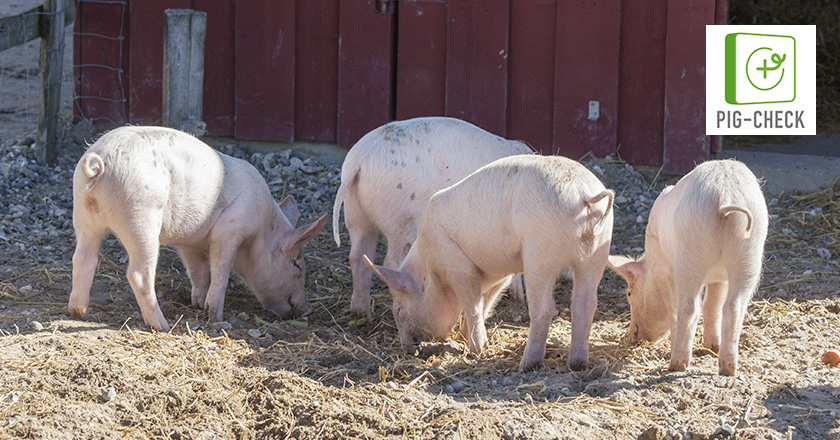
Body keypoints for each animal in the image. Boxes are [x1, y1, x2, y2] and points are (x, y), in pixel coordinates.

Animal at [68, 126, 327, 331]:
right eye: (297, 264)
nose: (307, 310)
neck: (262, 231)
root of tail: (99, 165)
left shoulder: (189, 243)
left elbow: (199, 272)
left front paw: (198, 304)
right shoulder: (230, 230)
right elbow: (220, 272)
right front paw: (216, 317)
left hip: (83, 215)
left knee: (83, 259)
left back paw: (78, 312)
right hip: (141, 217)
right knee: (138, 274)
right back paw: (163, 326)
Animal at [332, 117, 533, 321]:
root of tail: (359, 160)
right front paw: (519, 298)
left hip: (355, 212)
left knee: (357, 255)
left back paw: (361, 315)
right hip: (400, 218)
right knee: (391, 261)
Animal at [364, 154, 615, 371]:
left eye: (398, 309)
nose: (407, 349)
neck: (429, 267)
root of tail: (583, 194)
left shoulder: (456, 265)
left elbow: (473, 305)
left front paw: (477, 350)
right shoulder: (499, 273)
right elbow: (484, 304)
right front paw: (466, 338)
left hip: (541, 251)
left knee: (544, 308)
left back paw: (527, 365)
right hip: (598, 251)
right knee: (586, 303)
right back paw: (578, 364)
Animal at [607, 159, 768, 376]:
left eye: (629, 294)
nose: (633, 336)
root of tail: (725, 195)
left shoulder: (663, 267)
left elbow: (674, 307)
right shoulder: (720, 277)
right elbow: (712, 304)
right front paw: (711, 347)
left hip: (689, 254)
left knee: (689, 307)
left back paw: (676, 364)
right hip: (748, 253)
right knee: (733, 307)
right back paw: (727, 368)